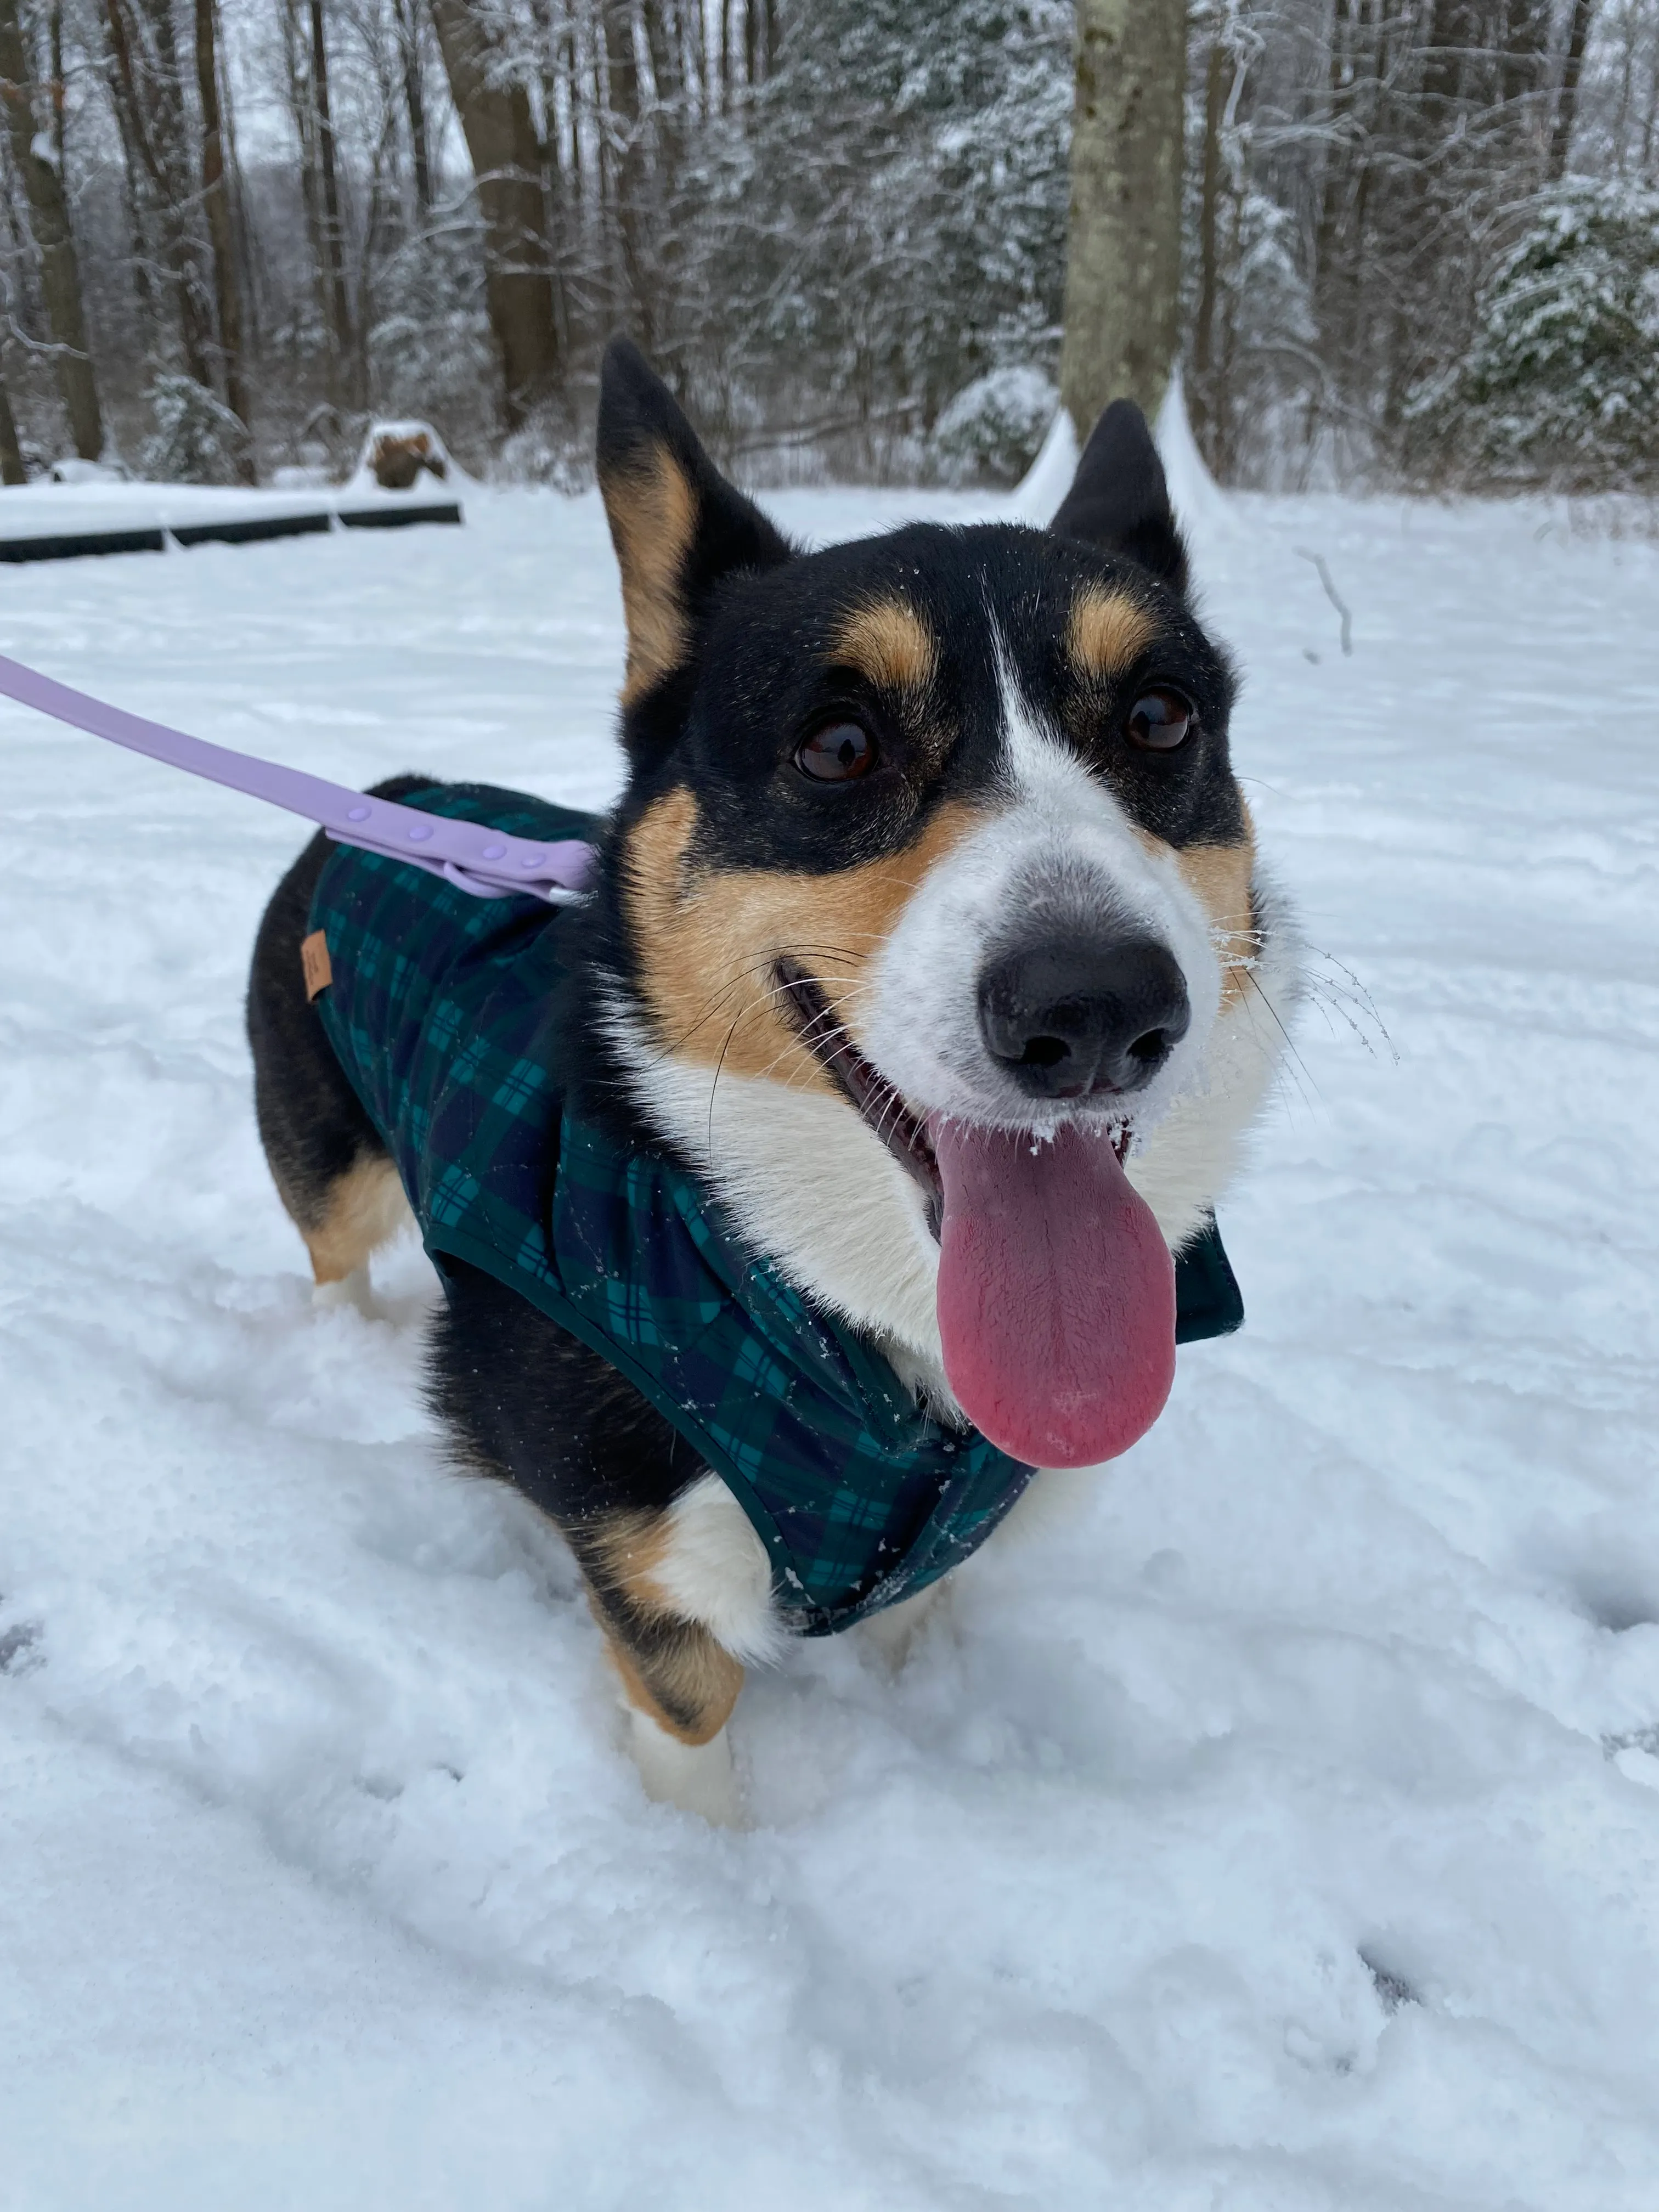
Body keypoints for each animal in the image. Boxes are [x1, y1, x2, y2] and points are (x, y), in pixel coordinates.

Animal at [246, 340, 1300, 1814]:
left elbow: (919, 1618)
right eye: (838, 746)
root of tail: (381, 793)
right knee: (334, 1258)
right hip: (327, 1161)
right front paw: (703, 1862)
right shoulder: (647, 1552)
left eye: (1160, 717)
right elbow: (691, 1721)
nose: (1096, 1009)